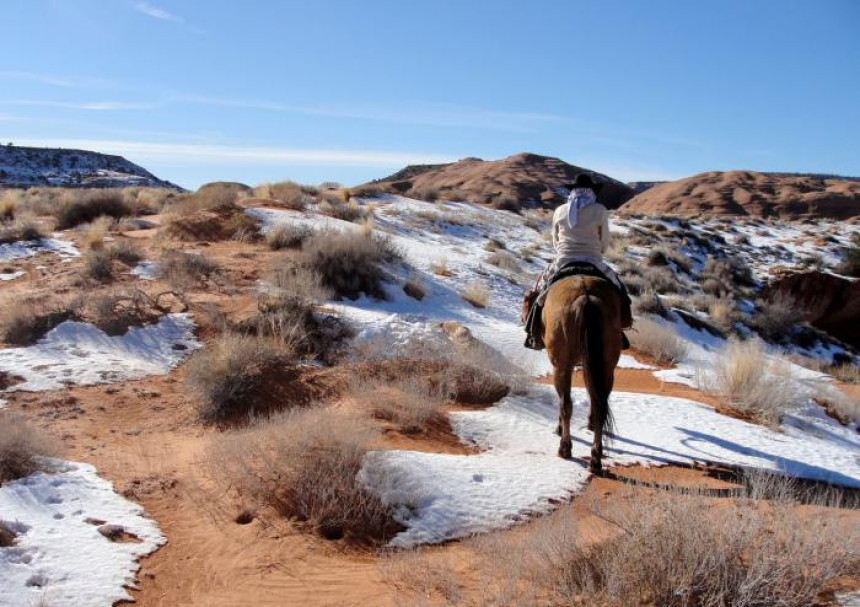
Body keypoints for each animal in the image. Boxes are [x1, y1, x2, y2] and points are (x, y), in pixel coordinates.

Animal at [540, 274, 620, 476]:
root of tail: (586, 298)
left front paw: (559, 429)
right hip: (606, 366)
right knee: (600, 405)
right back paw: (596, 458)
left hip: (562, 364)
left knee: (566, 404)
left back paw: (565, 448)